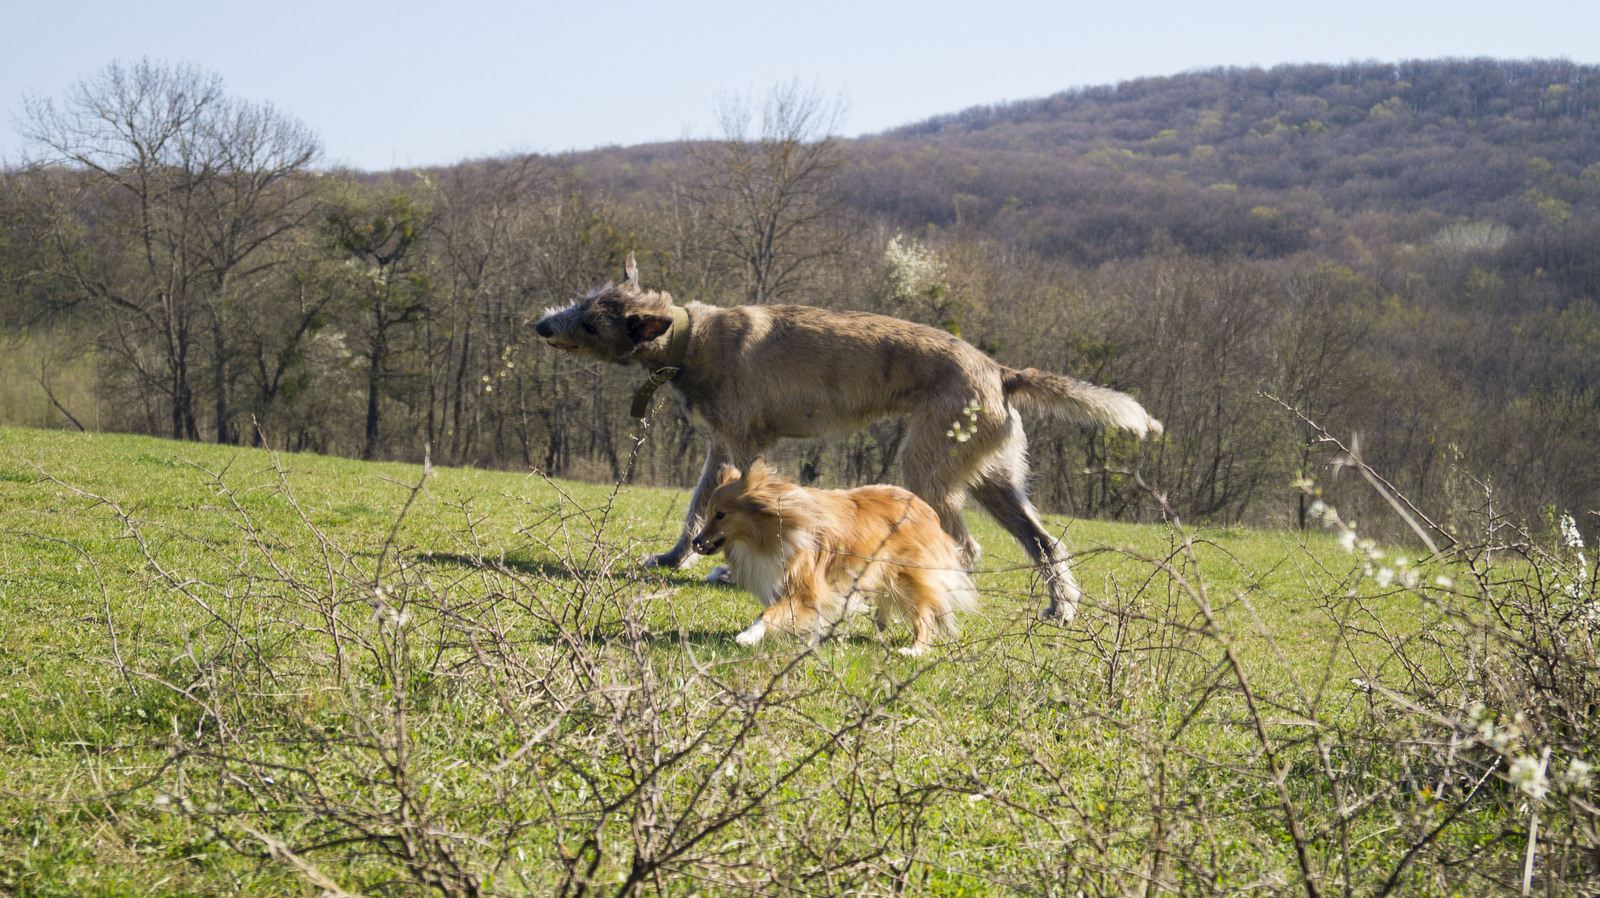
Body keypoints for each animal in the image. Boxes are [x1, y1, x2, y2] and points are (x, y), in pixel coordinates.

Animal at [540, 252, 1164, 614]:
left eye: (590, 321)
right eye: (583, 300)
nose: (540, 323)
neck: (688, 338)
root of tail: (1001, 372)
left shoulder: (738, 447)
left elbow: (718, 507)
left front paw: (712, 564)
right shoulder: (720, 448)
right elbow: (696, 507)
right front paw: (676, 558)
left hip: (930, 468)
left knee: (965, 546)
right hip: (992, 478)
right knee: (1045, 542)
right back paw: (1061, 606)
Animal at [694, 457, 979, 656]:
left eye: (721, 514)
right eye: (708, 513)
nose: (696, 542)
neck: (775, 526)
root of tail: (928, 509)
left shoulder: (808, 589)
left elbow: (770, 613)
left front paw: (748, 636)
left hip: (906, 577)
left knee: (924, 618)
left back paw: (915, 650)